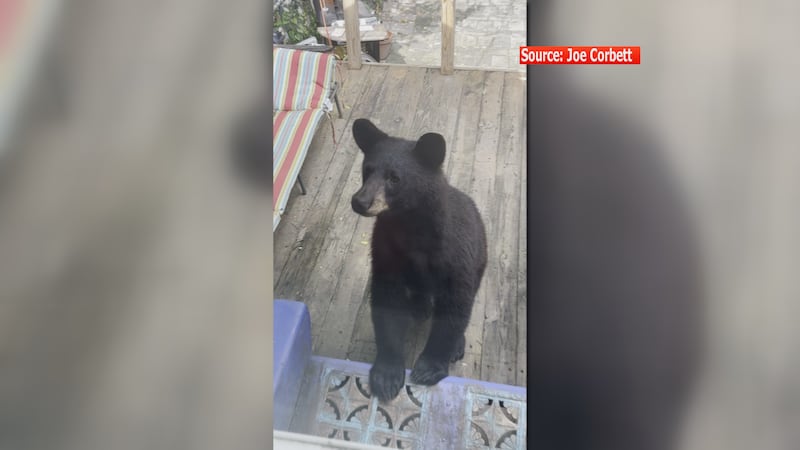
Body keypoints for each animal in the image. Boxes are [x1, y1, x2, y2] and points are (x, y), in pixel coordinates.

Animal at [350, 118, 488, 403]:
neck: (410, 227)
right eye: (367, 170)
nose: (360, 201)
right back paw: (420, 307)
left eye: (394, 178)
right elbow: (387, 299)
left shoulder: (456, 254)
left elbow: (456, 304)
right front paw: (386, 375)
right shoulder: (386, 251)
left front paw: (429, 368)